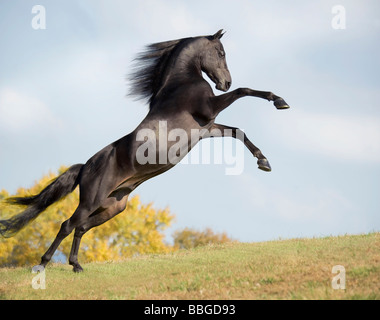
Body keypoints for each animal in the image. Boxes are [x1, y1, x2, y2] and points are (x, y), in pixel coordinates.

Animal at [0, 28, 288, 272]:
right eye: (221, 53)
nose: (225, 82)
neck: (180, 83)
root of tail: (85, 167)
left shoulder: (207, 128)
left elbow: (239, 131)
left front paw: (264, 161)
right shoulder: (209, 109)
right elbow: (244, 90)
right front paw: (279, 101)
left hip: (113, 207)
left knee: (80, 227)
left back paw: (76, 265)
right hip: (91, 200)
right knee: (67, 224)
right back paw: (43, 264)